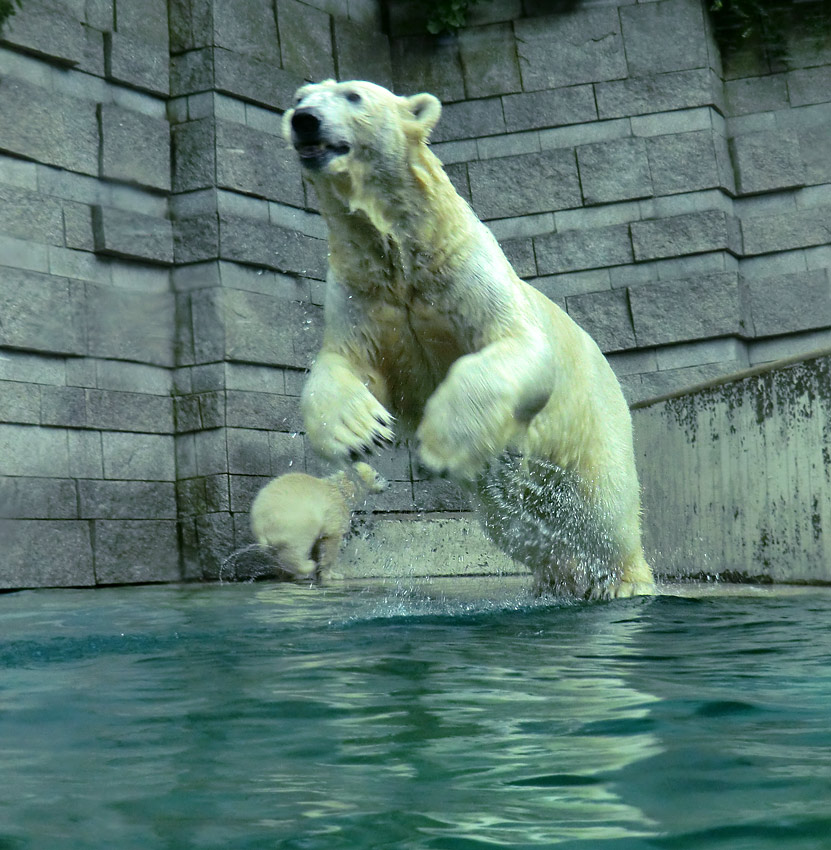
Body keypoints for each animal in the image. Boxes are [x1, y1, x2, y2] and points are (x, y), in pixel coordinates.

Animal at [249, 460, 388, 580]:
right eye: (377, 476)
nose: (389, 483)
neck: (341, 489)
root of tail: (260, 523)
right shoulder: (335, 509)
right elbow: (333, 537)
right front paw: (332, 574)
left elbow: (317, 544)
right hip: (294, 521)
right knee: (297, 547)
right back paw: (305, 566)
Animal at [286, 79, 656, 596]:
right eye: (299, 97)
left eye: (353, 95)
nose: (304, 121)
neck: (405, 254)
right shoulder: (362, 295)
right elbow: (345, 364)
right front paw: (360, 431)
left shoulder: (466, 270)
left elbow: (517, 344)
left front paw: (439, 443)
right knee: (519, 524)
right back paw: (556, 579)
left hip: (594, 418)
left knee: (603, 507)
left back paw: (624, 582)